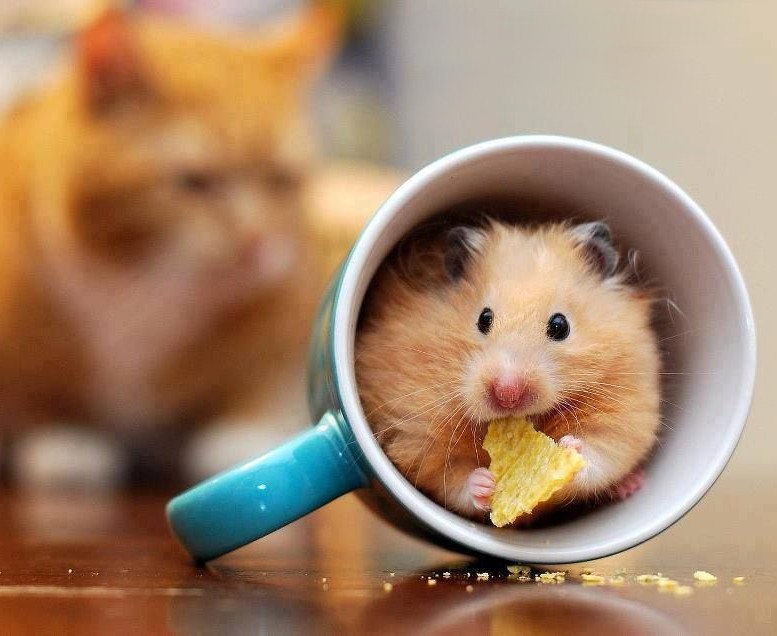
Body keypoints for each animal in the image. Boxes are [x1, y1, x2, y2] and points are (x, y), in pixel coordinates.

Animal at [0, 4, 343, 488]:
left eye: (282, 180)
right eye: (194, 182)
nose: (257, 243)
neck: (143, 286)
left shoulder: (285, 314)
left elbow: (262, 380)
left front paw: (243, 434)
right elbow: (33, 391)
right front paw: (62, 437)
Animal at [355, 218, 660, 522]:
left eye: (560, 325)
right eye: (484, 319)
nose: (508, 395)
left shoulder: (626, 411)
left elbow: (601, 453)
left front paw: (569, 448)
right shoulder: (417, 435)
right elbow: (450, 477)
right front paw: (484, 484)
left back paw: (630, 484)